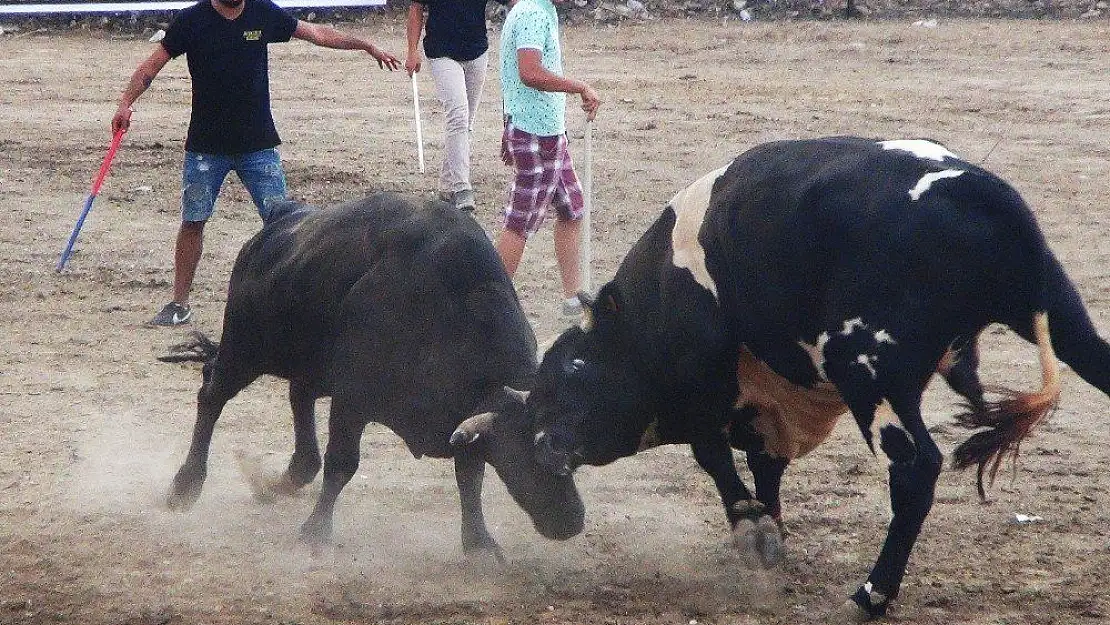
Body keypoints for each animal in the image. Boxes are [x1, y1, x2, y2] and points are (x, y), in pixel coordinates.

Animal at [164, 193, 586, 559]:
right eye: (528, 455)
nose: (572, 522)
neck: (451, 312)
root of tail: (272, 230)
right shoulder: (352, 399)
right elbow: (342, 464)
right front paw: (316, 531)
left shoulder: (461, 422)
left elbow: (470, 479)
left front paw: (479, 544)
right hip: (245, 351)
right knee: (212, 394)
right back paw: (185, 485)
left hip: (308, 366)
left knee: (299, 399)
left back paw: (283, 480)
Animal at [528, 138, 1110, 621]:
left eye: (573, 370)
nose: (542, 445)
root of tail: (978, 191)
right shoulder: (767, 406)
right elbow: (764, 465)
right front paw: (769, 528)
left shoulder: (703, 383)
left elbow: (713, 454)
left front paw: (751, 528)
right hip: (1065, 319)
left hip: (870, 374)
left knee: (914, 467)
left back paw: (872, 594)